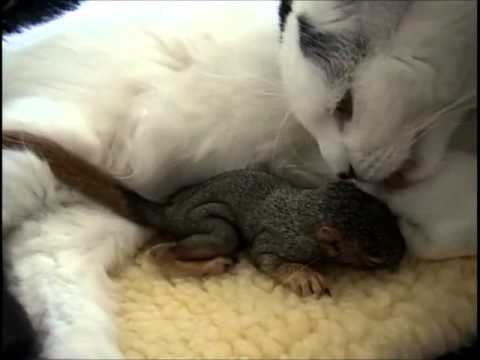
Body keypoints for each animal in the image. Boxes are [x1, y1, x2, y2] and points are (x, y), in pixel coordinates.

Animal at [3, 131, 404, 296]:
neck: (311, 209)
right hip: (209, 225)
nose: (401, 256)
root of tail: (169, 210)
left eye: (389, 214)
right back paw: (206, 265)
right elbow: (267, 258)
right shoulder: (284, 240)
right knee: (163, 253)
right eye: (373, 252)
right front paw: (303, 277)